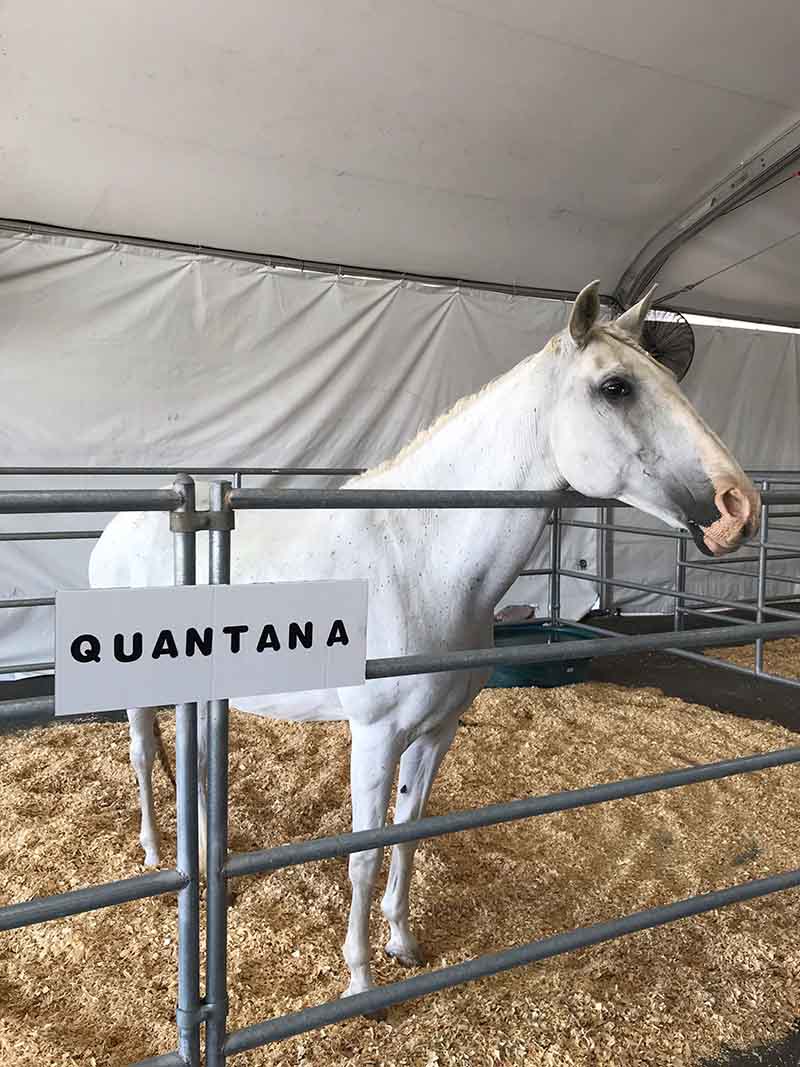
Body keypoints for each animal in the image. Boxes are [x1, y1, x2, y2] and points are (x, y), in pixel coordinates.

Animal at [87, 283, 759, 998]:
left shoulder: (437, 732)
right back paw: (157, 859)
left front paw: (403, 943)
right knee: (142, 755)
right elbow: (361, 853)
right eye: (616, 387)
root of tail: (118, 528)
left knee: (193, 766)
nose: (738, 507)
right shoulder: (375, 735)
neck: (420, 559)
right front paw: (360, 979)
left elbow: (408, 834)